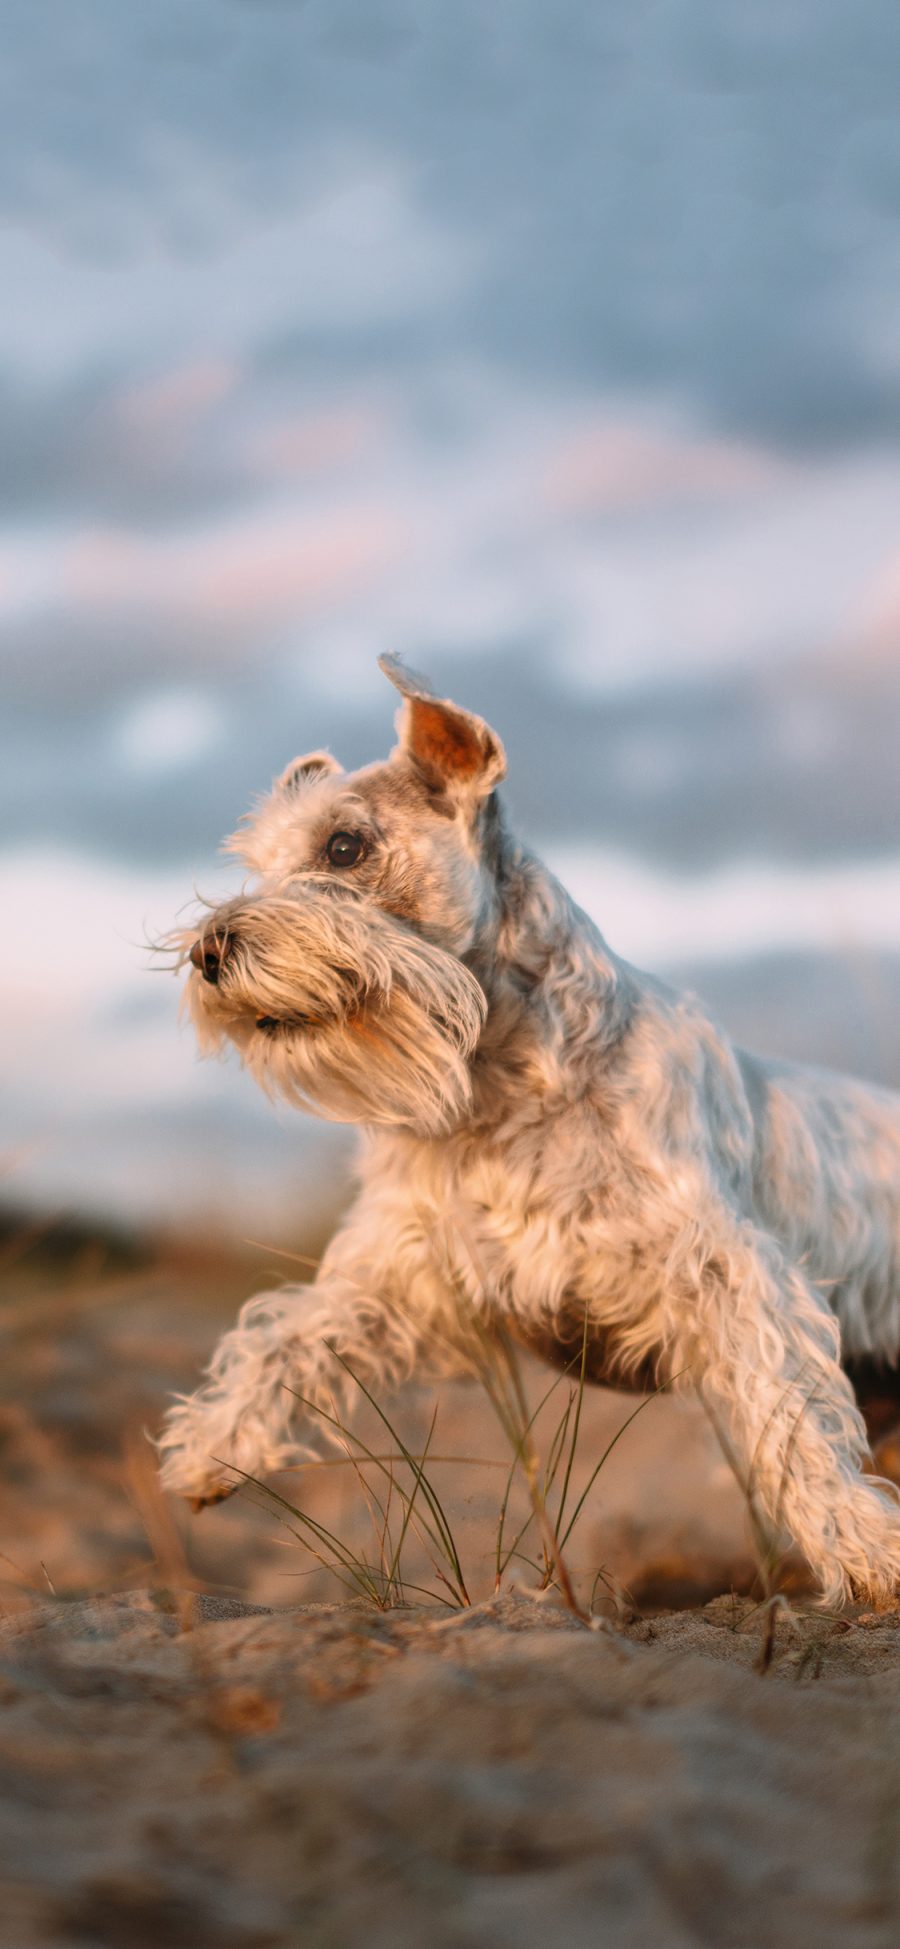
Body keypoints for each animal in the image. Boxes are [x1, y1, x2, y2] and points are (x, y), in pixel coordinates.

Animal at [157, 654, 900, 1598]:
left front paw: (861, 1547)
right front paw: (213, 1443)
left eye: (344, 845)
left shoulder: (726, 1271)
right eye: (260, 861)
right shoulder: (407, 1278)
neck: (497, 1091)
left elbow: (791, 1414)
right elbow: (287, 1338)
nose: (207, 951)